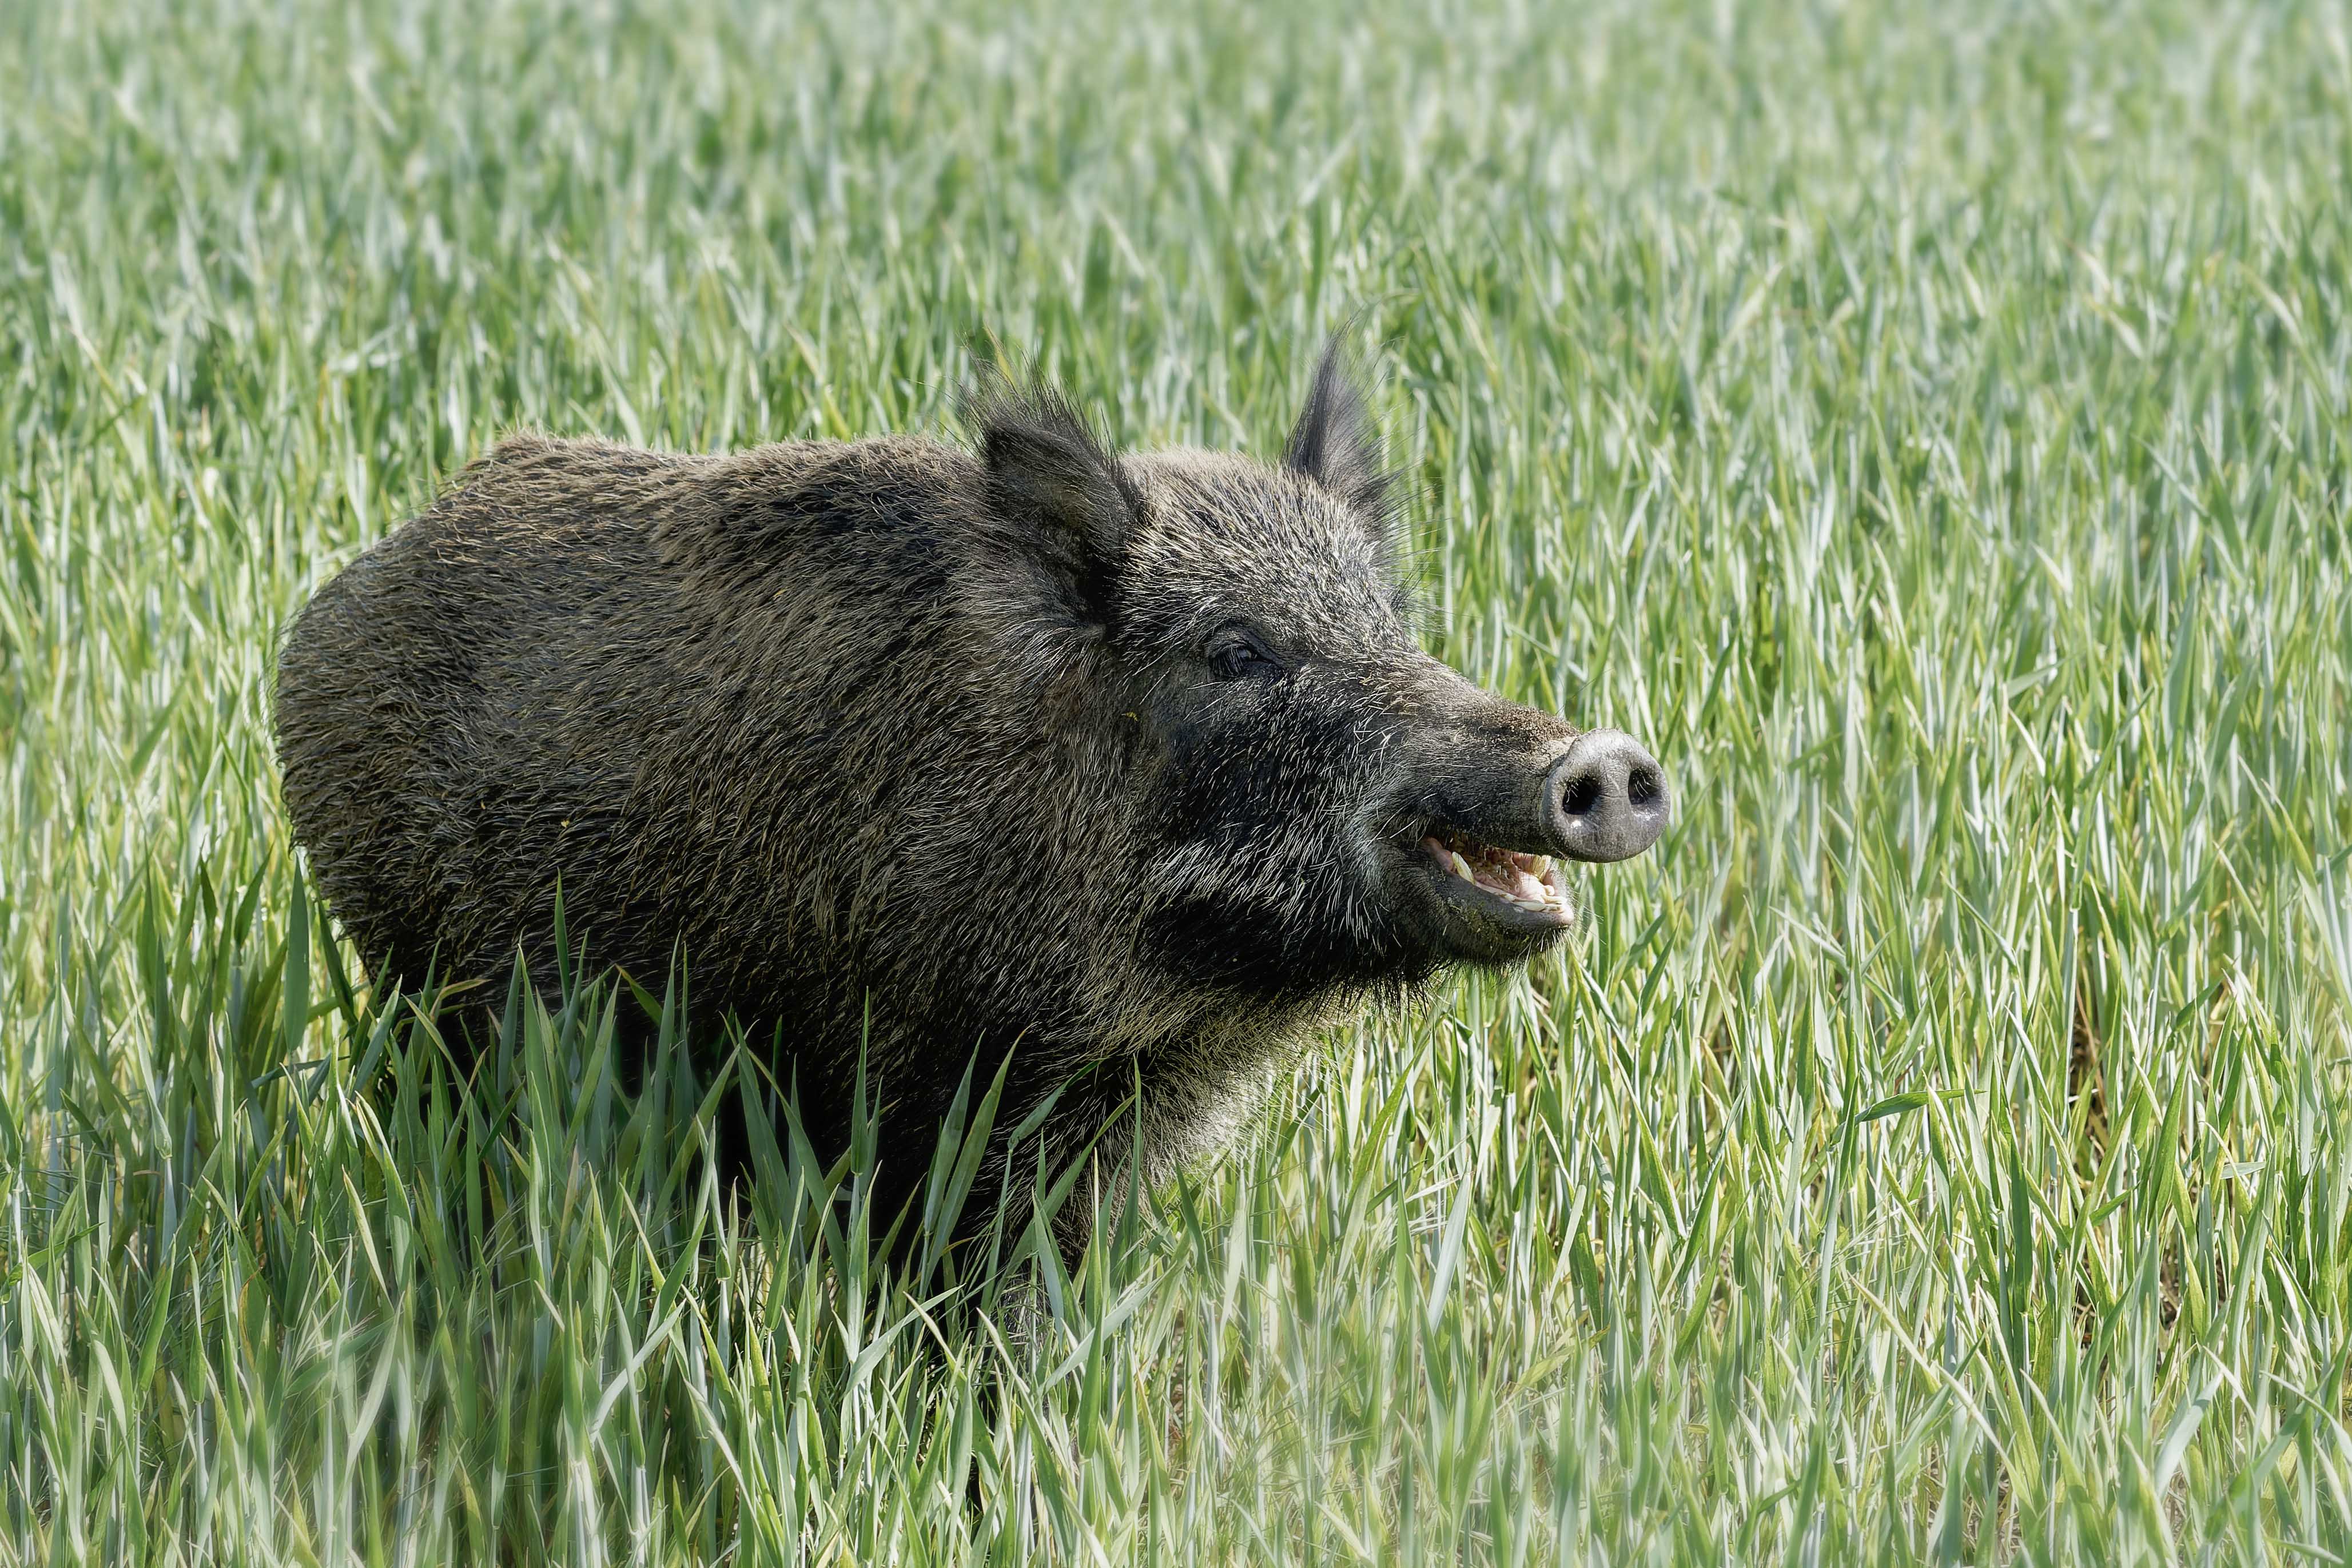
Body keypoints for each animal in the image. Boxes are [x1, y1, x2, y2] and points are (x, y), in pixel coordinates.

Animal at [273, 344, 1669, 1253]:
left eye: (1389, 624)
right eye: (1236, 652)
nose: (1602, 762)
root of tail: (339, 598)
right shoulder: (932, 1089)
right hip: (417, 975)